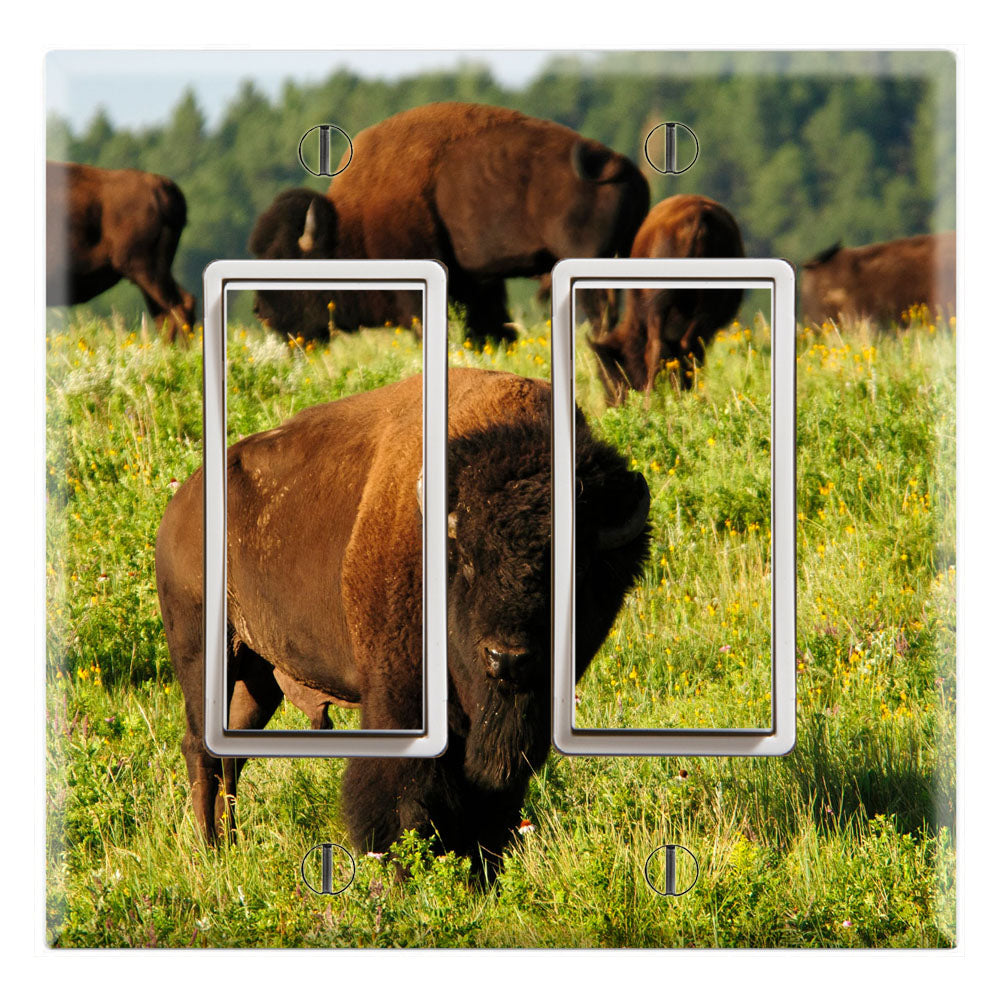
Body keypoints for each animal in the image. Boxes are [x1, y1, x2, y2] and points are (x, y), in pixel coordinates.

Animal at [156, 368, 652, 876]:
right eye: (468, 561)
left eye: (578, 569)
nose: (507, 658)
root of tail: (180, 505)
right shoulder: (401, 693)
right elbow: (403, 792)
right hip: (204, 654)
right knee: (201, 749)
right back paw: (210, 850)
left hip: (258, 677)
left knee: (231, 754)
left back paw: (229, 846)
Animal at [246, 101, 644, 344]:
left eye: (287, 264)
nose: (260, 313)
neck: (349, 225)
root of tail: (616, 162)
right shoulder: (478, 284)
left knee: (600, 314)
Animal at [588, 195, 748, 402]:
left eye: (608, 372)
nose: (614, 402)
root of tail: (698, 217)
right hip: (706, 309)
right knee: (688, 348)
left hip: (660, 306)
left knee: (656, 349)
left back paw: (652, 402)